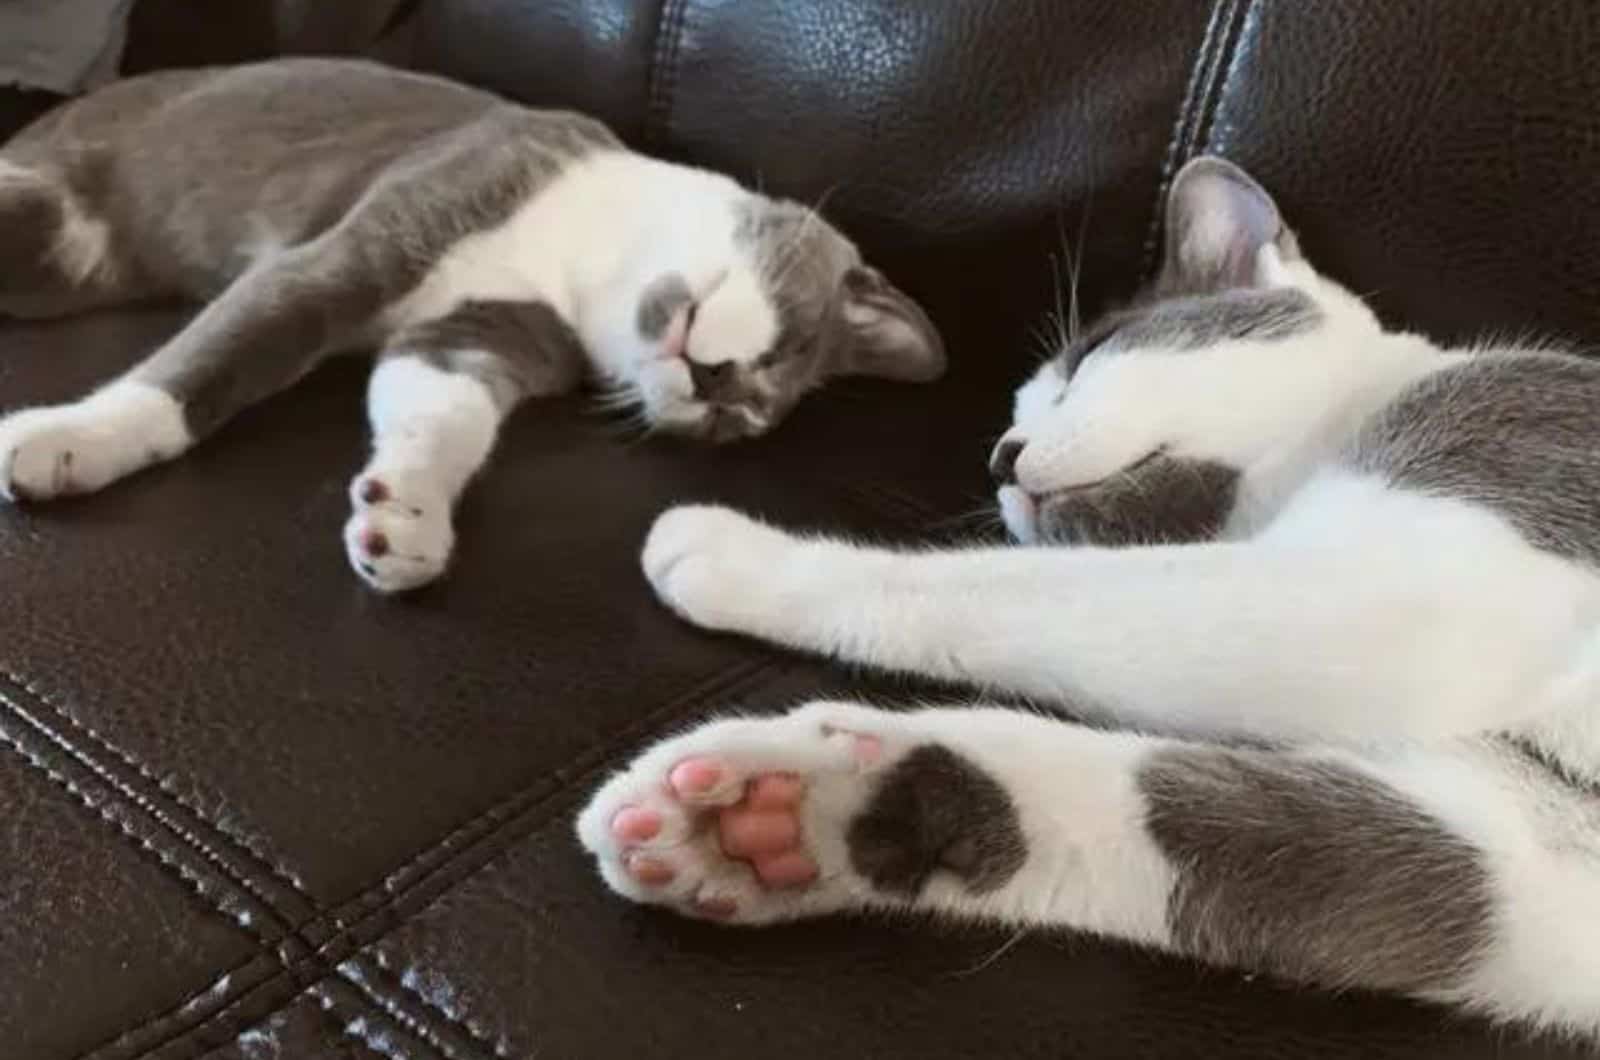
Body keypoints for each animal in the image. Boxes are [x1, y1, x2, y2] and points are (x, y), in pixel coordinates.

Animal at [0, 58, 940, 592]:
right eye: (785, 345)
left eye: (732, 425)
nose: (719, 384)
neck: (576, 260)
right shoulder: (363, 245)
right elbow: (210, 362)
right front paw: (70, 439)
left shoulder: (484, 334)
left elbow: (443, 412)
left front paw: (406, 516)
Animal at [582, 157, 1600, 1037]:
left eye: (1093, 353)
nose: (1000, 456)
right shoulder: (1531, 875)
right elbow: (1306, 850)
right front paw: (780, 817)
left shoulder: (1423, 565)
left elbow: (1003, 589)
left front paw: (732, 555)